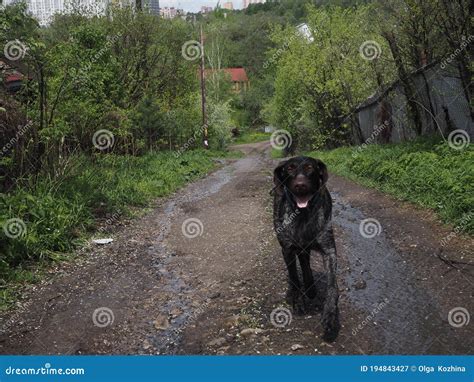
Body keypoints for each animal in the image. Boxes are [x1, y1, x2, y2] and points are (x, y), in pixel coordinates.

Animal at [272, 155, 338, 340]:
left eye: (310, 168)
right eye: (290, 168)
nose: (300, 185)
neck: (303, 215)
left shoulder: (329, 251)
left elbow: (333, 286)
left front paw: (330, 315)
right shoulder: (287, 249)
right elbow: (294, 278)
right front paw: (297, 301)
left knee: (306, 265)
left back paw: (311, 288)